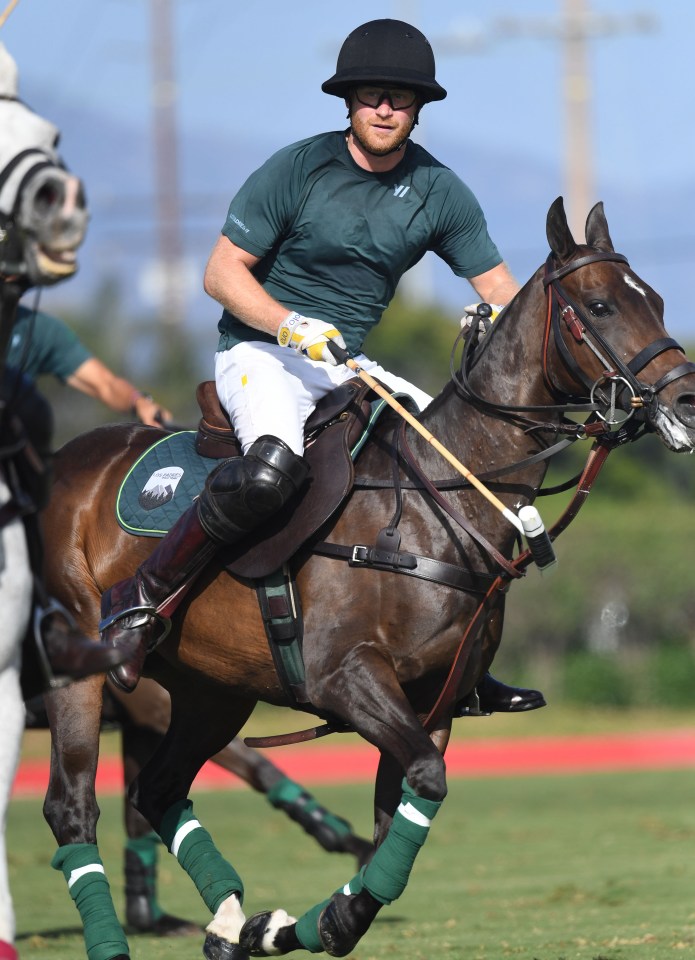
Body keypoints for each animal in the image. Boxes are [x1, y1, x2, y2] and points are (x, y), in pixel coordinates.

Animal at [40, 199, 695, 956]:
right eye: (599, 305)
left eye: (656, 300)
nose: (686, 402)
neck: (437, 505)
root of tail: (64, 458)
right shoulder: (345, 676)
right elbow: (423, 786)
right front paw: (308, 922)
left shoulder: (432, 704)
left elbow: (401, 818)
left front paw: (295, 925)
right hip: (84, 666)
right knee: (71, 807)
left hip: (212, 687)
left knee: (159, 789)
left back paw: (230, 921)